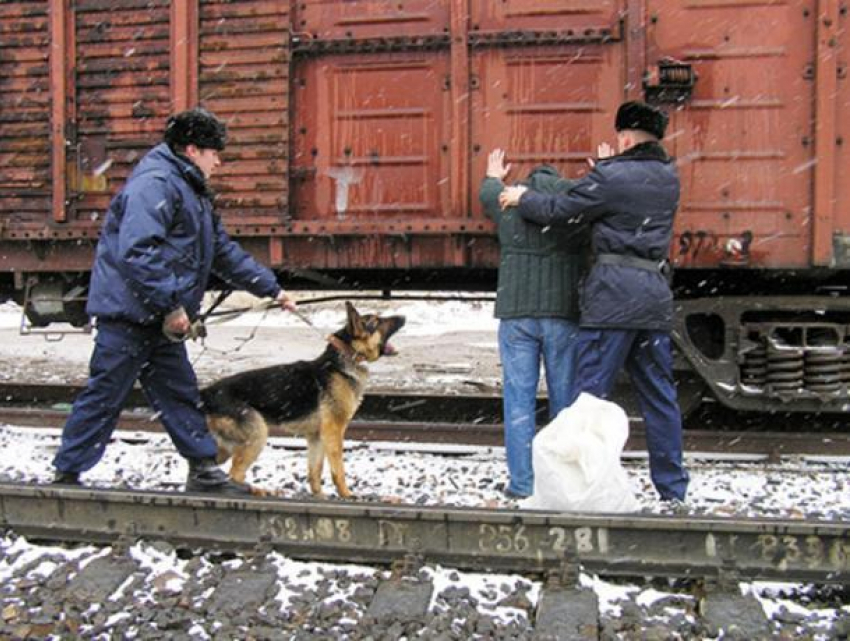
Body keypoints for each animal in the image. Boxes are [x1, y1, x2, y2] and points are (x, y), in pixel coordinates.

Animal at [199, 302, 404, 498]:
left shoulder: (317, 437)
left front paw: (319, 496)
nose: (403, 317)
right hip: (257, 435)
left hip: (226, 448)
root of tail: (207, 393)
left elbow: (315, 471)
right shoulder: (334, 432)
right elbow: (338, 469)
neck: (346, 357)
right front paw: (346, 494)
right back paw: (255, 491)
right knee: (235, 474)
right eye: (377, 321)